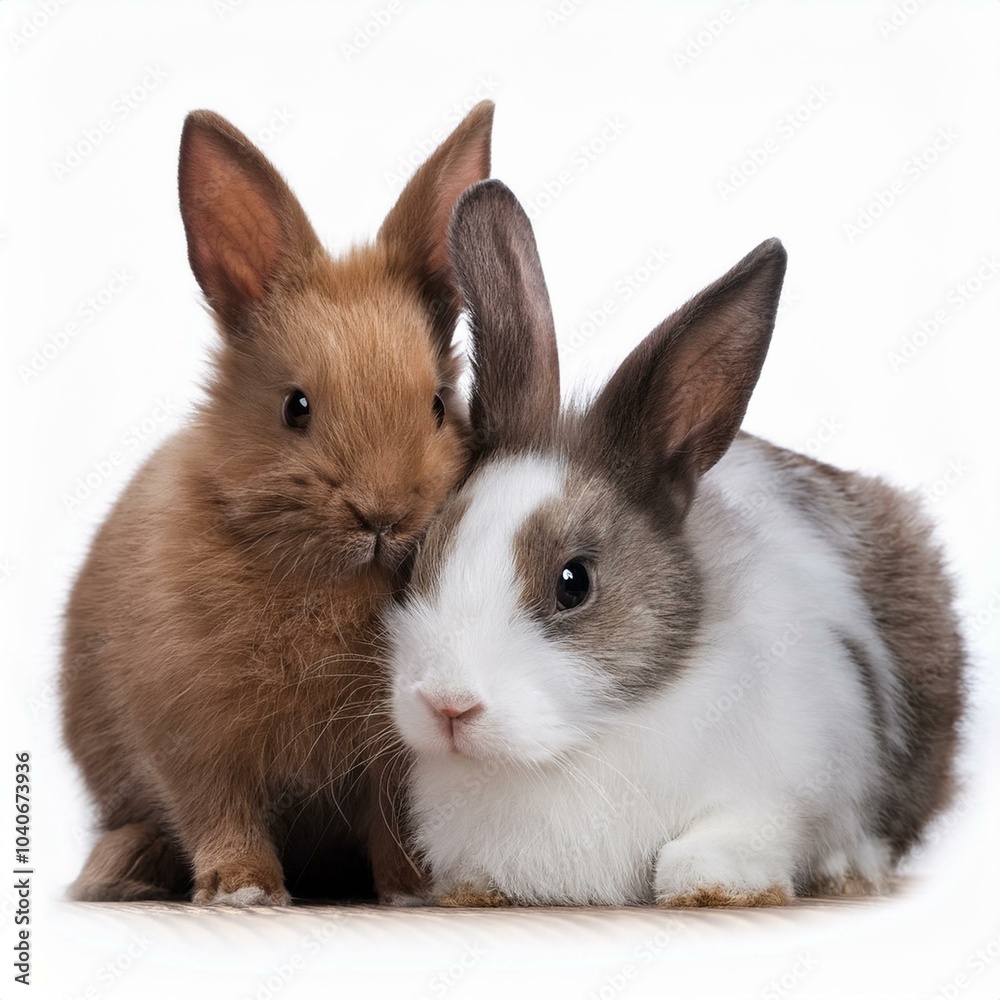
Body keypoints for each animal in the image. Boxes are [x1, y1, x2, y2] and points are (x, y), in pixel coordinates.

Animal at [61, 101, 495, 906]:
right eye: (296, 406)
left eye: (438, 405)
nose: (382, 515)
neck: (331, 582)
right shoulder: (193, 737)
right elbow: (218, 810)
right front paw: (244, 891)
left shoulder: (394, 757)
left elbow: (394, 822)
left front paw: (411, 890)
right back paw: (118, 870)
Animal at [386, 180, 967, 907]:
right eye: (420, 561)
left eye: (573, 582)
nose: (447, 704)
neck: (577, 747)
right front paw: (474, 890)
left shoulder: (792, 779)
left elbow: (747, 830)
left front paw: (711, 882)